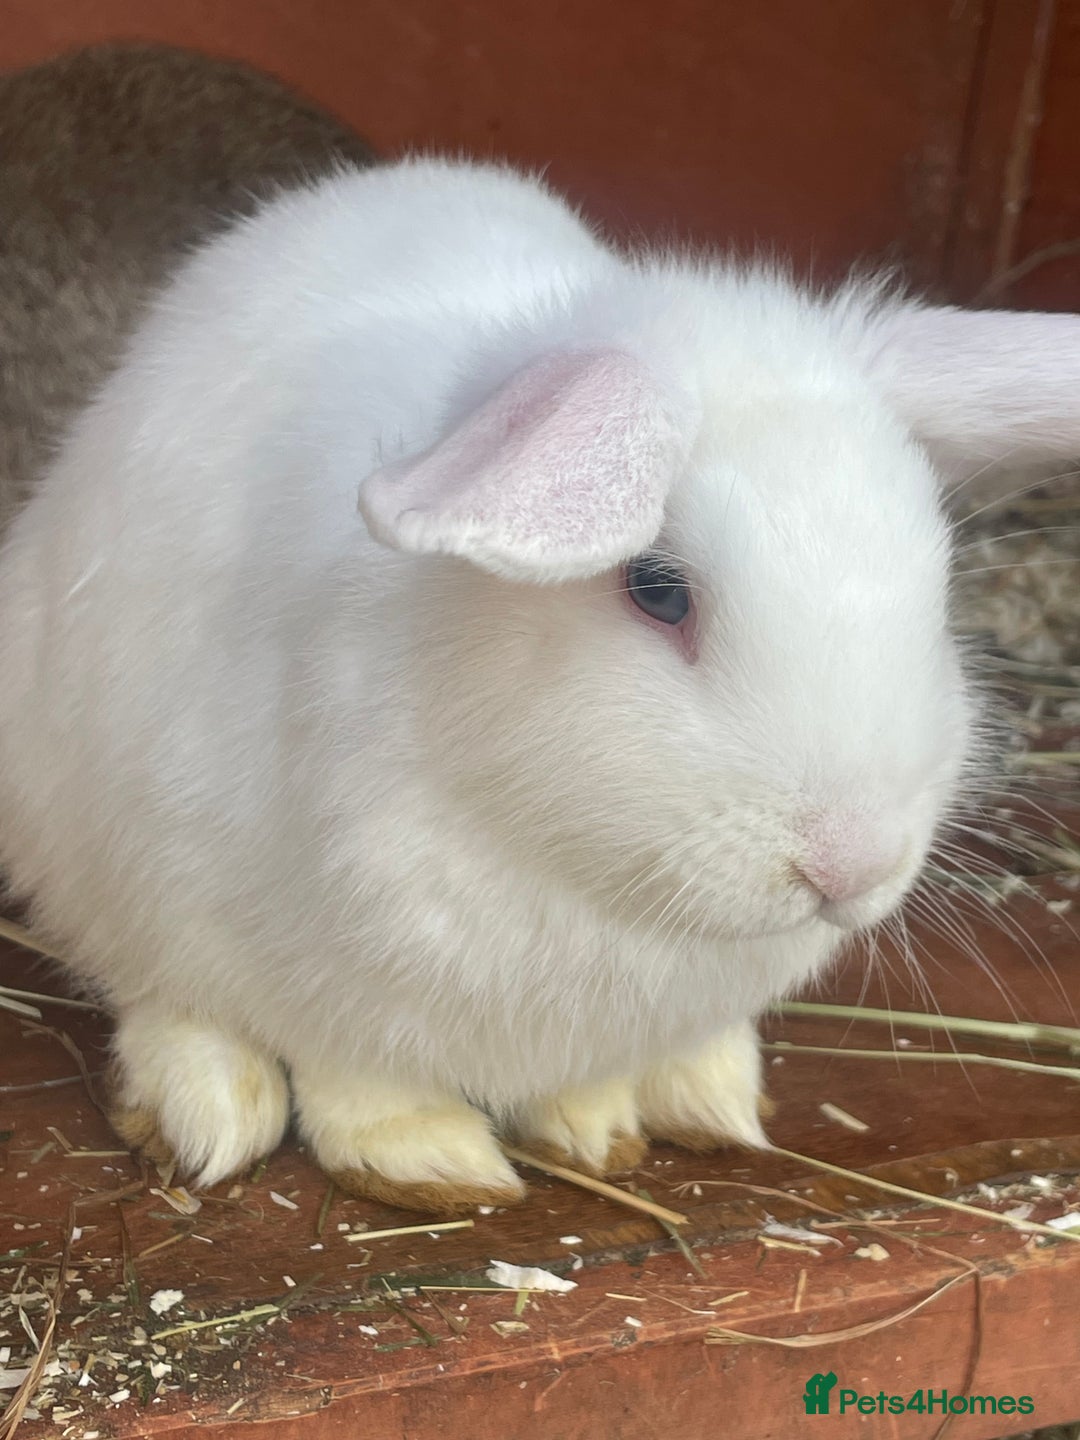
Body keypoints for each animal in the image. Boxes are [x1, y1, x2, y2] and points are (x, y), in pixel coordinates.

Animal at [2, 150, 1080, 1216]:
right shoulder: (308, 954)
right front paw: (426, 1162)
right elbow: (357, 1071)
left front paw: (593, 1129)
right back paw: (212, 1112)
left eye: (936, 585)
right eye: (658, 590)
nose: (852, 866)